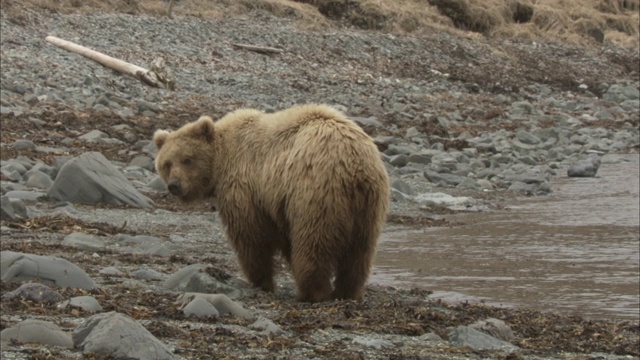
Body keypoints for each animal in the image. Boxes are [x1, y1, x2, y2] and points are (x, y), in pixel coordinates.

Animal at [154, 105, 390, 304]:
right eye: (167, 163)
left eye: (187, 159)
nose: (174, 186)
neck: (222, 161)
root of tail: (354, 164)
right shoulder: (276, 203)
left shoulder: (245, 186)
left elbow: (250, 237)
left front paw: (260, 281)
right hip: (369, 206)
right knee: (360, 253)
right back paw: (347, 292)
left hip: (315, 195)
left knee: (313, 244)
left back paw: (311, 293)